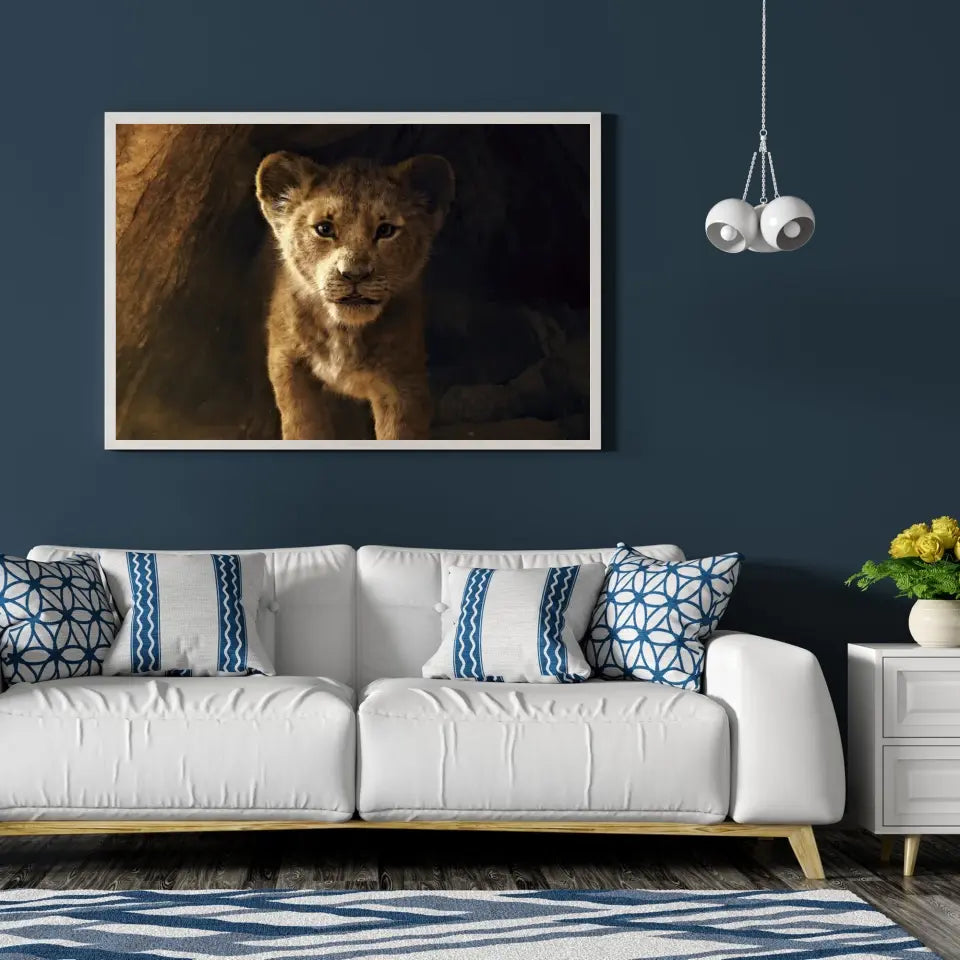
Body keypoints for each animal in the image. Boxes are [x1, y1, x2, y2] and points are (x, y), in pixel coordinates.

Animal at [255, 150, 454, 441]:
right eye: (324, 229)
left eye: (386, 230)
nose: (354, 274)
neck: (344, 331)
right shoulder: (287, 362)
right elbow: (303, 426)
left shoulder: (404, 380)